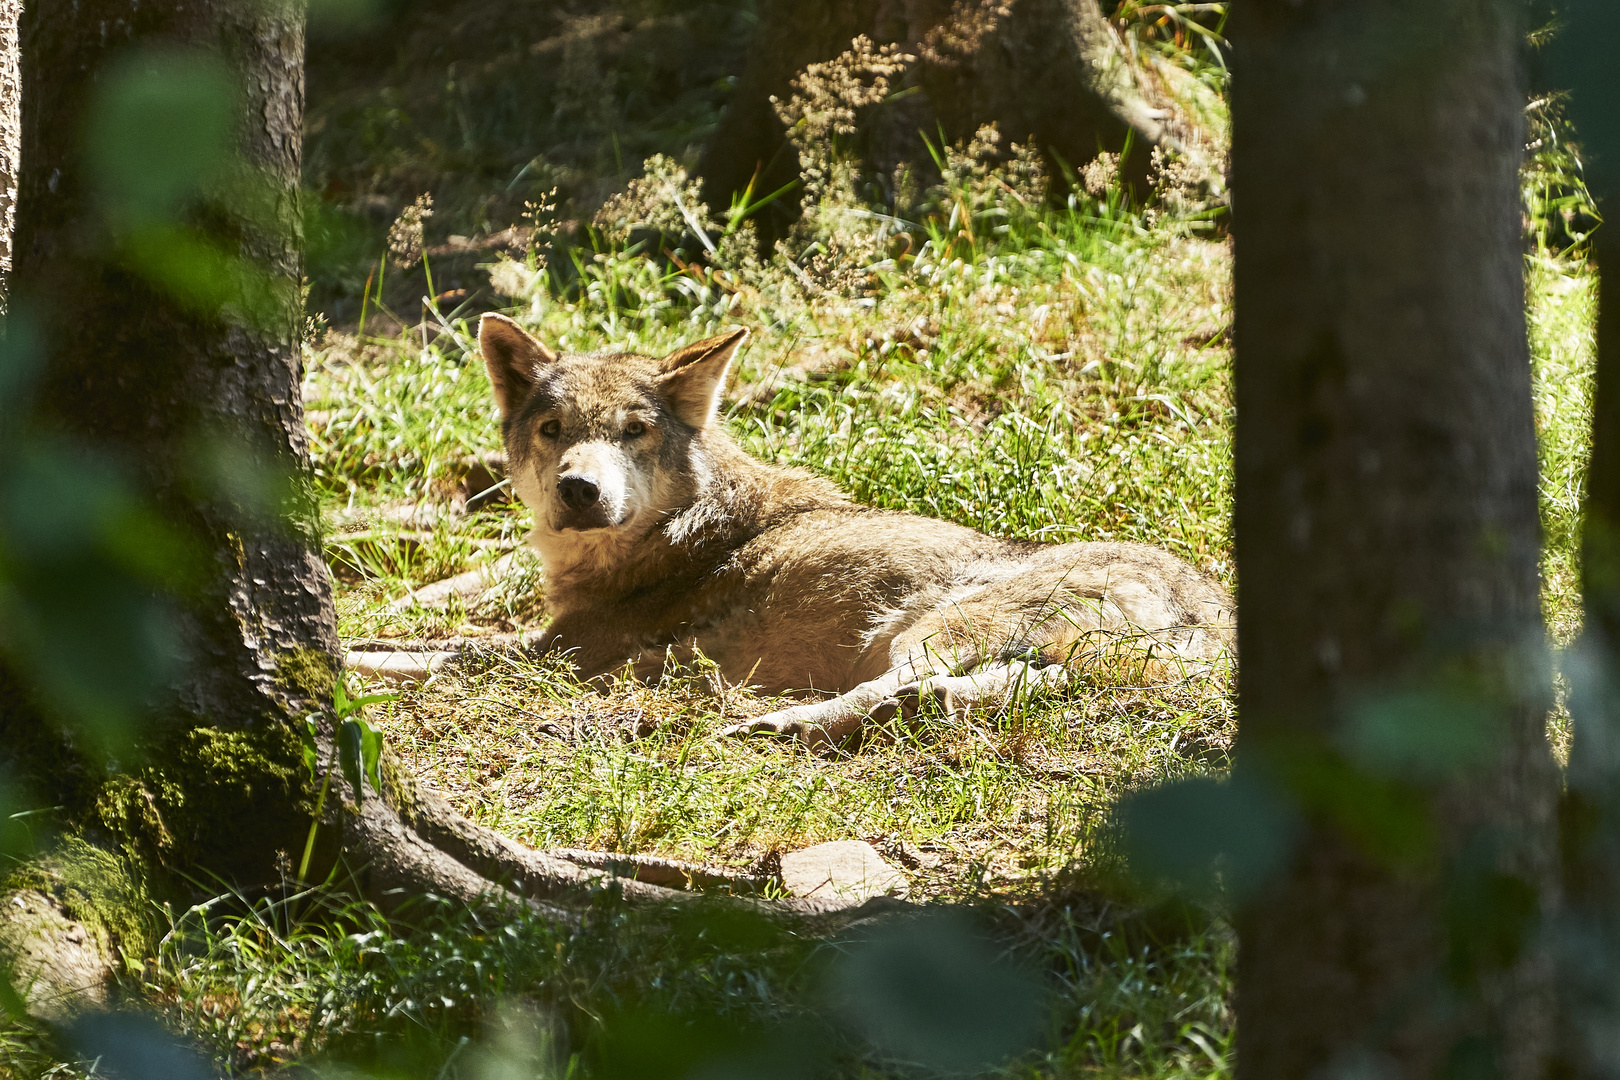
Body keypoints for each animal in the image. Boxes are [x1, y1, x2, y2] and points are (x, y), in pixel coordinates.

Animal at [473, 317, 1231, 748]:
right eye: (553, 430)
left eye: (633, 431)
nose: (579, 489)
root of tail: (1212, 606)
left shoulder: (563, 646)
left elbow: (455, 652)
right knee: (1009, 686)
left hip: (922, 631)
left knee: (897, 686)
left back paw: (778, 722)